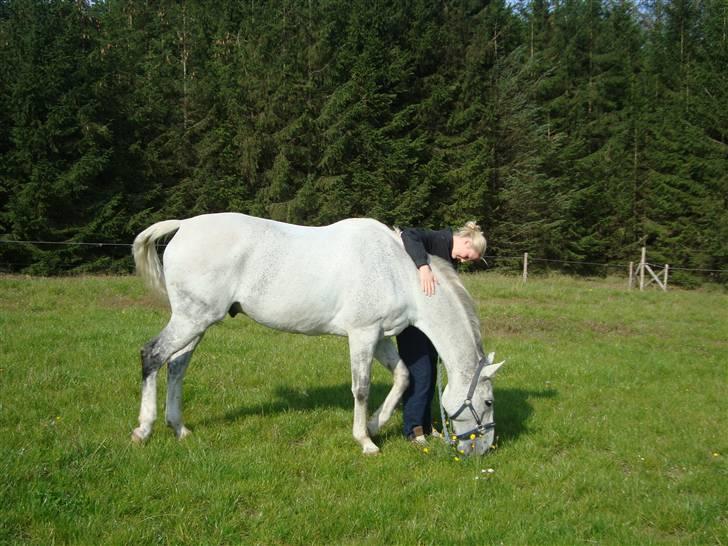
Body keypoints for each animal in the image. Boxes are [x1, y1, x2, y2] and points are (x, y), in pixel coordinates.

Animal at [131, 212, 504, 454]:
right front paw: (365, 441)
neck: (399, 271)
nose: (485, 448)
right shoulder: (362, 334)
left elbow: (403, 377)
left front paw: (374, 426)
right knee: (152, 356)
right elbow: (361, 388)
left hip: (197, 322)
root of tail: (185, 226)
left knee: (177, 366)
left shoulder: (380, 336)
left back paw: (179, 428)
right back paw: (143, 429)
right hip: (191, 319)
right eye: (488, 401)